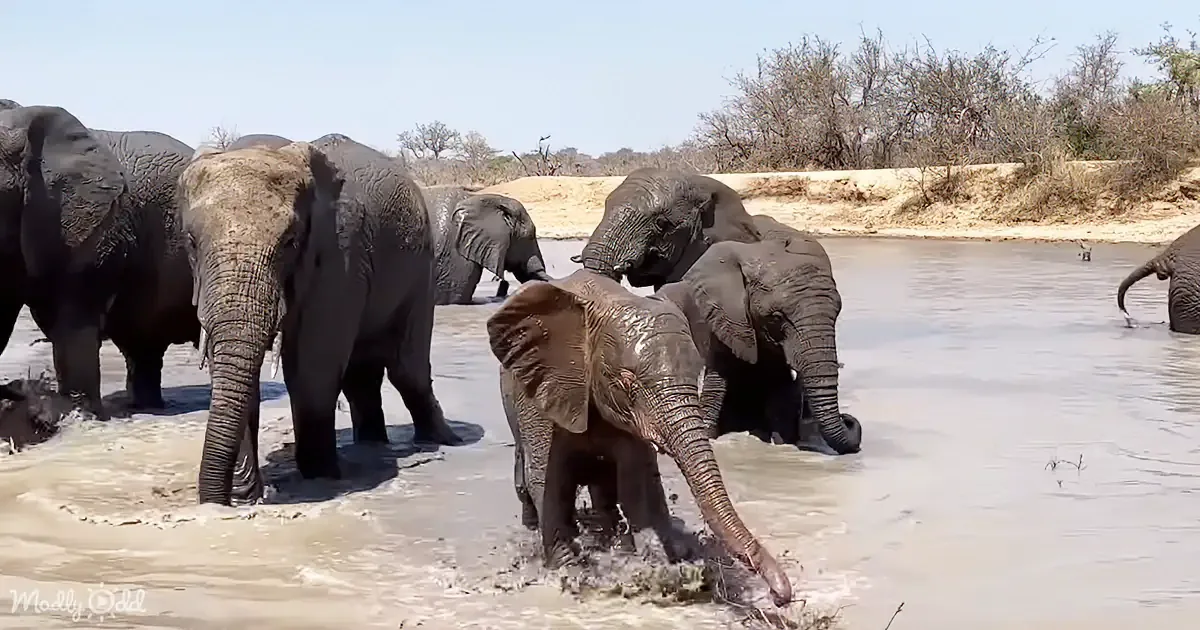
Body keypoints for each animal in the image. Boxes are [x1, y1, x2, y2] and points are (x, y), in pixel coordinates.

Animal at [179, 136, 463, 506]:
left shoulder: (341, 254)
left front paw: (320, 479)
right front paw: (244, 498)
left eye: (291, 241)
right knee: (362, 376)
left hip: (421, 270)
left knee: (406, 369)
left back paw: (446, 440)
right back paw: (372, 445)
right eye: (191, 241)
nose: (217, 502)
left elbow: (312, 365)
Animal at [488, 269, 794, 607]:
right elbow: (547, 477)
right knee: (526, 478)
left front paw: (653, 562)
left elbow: (633, 478)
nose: (779, 596)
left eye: (695, 376)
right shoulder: (546, 386)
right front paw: (571, 572)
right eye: (627, 383)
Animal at [653, 225, 862, 455]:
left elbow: (781, 386)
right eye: (776, 317)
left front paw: (782, 440)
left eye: (837, 312)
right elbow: (718, 379)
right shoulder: (722, 319)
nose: (847, 419)